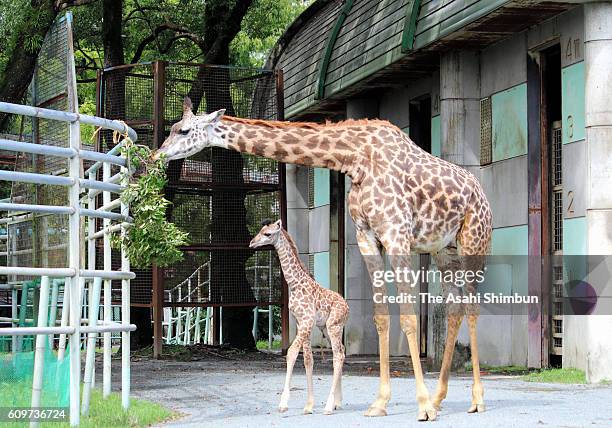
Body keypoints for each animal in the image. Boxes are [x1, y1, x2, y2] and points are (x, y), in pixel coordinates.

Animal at [250, 221, 350, 414]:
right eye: (260, 231)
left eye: (267, 234)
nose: (252, 243)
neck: (295, 284)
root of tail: (347, 307)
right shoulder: (300, 322)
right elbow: (307, 360)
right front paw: (309, 405)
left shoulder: (307, 320)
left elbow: (291, 353)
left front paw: (283, 403)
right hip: (327, 327)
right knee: (340, 352)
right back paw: (337, 402)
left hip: (333, 326)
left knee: (338, 356)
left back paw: (329, 405)